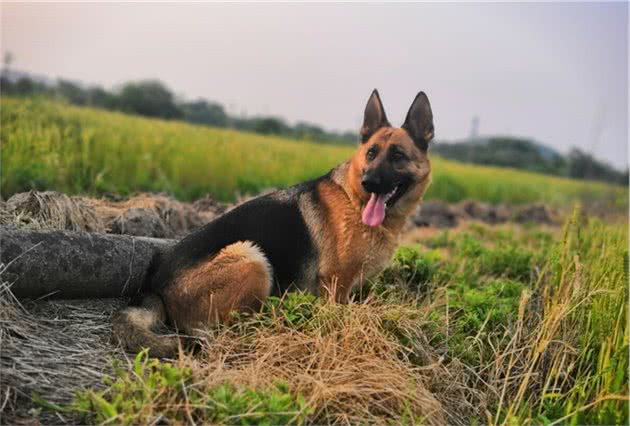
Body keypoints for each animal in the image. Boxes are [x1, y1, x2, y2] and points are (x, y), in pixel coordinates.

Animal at [113, 90, 434, 356]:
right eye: (371, 153)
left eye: (397, 156)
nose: (369, 182)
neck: (354, 199)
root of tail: (156, 287)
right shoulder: (335, 285)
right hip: (251, 257)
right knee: (226, 328)